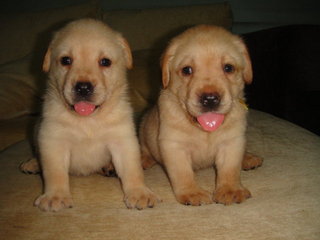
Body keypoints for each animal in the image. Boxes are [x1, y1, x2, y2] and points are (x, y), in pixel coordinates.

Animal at [20, 18, 158, 212]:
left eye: (105, 62)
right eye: (66, 60)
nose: (83, 87)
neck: (88, 121)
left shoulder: (123, 140)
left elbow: (133, 170)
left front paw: (139, 192)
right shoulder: (53, 141)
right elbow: (55, 173)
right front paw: (55, 195)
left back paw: (108, 167)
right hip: (36, 129)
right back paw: (33, 163)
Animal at [140, 24, 262, 206]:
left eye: (228, 68)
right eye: (187, 70)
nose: (210, 99)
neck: (204, 131)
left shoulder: (232, 141)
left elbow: (230, 169)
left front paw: (230, 189)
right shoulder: (174, 145)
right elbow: (183, 174)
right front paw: (192, 192)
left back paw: (248, 158)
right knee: (144, 149)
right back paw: (144, 160)